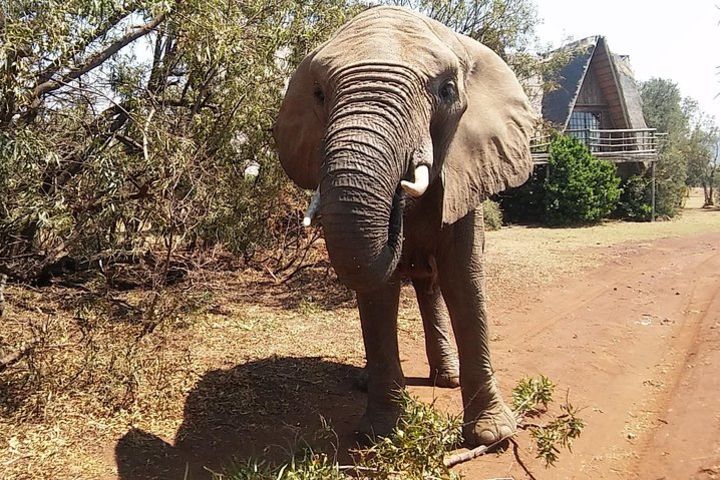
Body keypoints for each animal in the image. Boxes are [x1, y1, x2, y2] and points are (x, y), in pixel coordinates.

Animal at [272, 4, 536, 450]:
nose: (400, 199)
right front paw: (379, 434)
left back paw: (446, 379)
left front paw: (491, 436)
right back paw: (368, 381)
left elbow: (464, 280)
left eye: (447, 90)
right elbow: (377, 293)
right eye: (320, 94)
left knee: (433, 287)